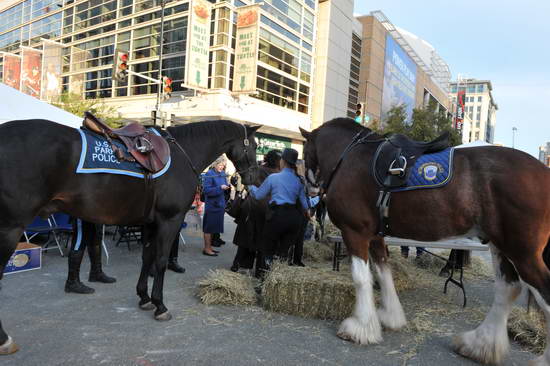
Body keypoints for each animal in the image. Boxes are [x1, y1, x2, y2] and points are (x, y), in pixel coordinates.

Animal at [0, 118, 262, 354]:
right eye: (254, 145)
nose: (252, 178)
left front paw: (144, 297)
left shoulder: (150, 224)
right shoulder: (170, 221)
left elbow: (147, 258)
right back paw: (5, 340)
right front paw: (159, 304)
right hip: (10, 228)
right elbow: (160, 261)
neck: (183, 154)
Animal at [302, 118, 550, 364]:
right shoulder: (376, 237)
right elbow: (384, 273)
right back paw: (479, 345)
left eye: (304, 153)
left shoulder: (355, 232)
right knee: (507, 289)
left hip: (522, 253)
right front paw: (390, 317)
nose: (310, 189)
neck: (351, 155)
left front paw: (360, 328)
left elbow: (362, 279)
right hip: (500, 246)